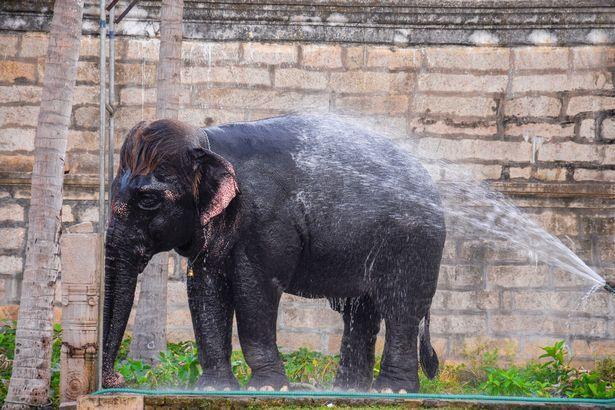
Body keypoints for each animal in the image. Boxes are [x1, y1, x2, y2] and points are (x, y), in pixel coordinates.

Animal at [102, 113, 448, 392]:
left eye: (148, 200)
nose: (118, 379)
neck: (209, 142)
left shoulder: (265, 221)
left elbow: (255, 290)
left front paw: (267, 388)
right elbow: (205, 291)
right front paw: (215, 389)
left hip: (415, 241)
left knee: (399, 306)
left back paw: (393, 391)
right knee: (361, 310)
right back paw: (350, 391)